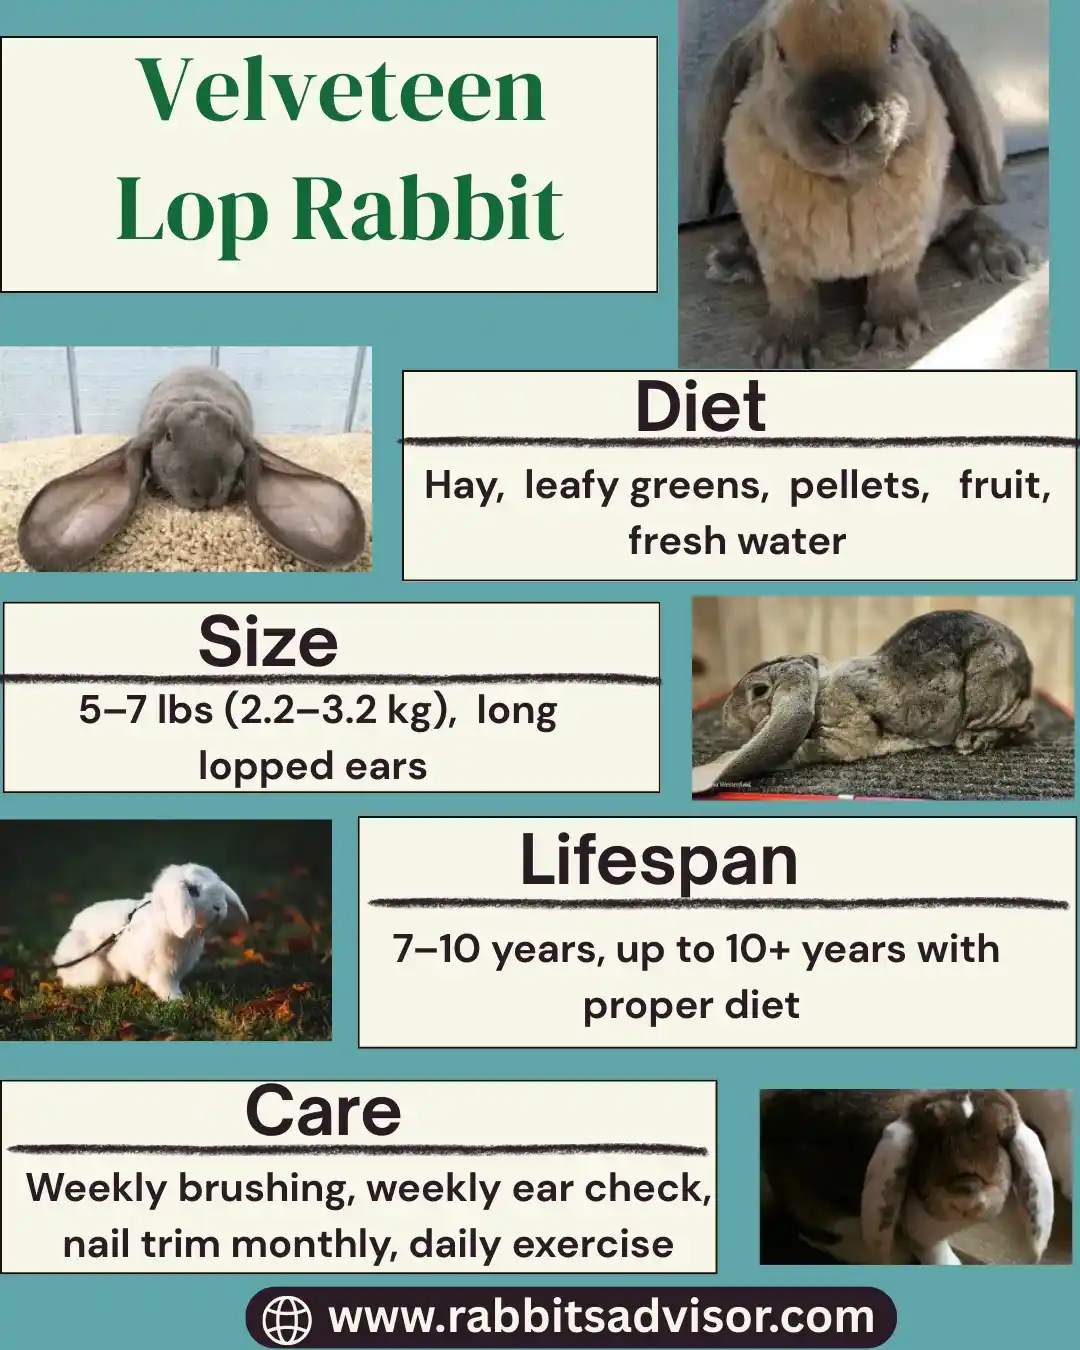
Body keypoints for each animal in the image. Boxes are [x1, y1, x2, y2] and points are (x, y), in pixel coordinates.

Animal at [52, 862, 249, 1002]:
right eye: (192, 890)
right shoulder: (160, 971)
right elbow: (164, 986)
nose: (219, 908)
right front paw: (178, 1000)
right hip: (94, 970)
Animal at [692, 0, 1038, 367]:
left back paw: (999, 254)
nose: (847, 123)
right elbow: (790, 292)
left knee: (965, 212)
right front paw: (786, 352)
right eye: (781, 53)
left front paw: (893, 333)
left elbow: (894, 278)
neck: (845, 184)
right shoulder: (778, 253)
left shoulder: (905, 242)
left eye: (894, 41)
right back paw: (732, 259)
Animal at [692, 610, 1034, 795]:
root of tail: (1027, 673)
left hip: (987, 691)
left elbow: (808, 749)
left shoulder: (844, 737)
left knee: (1024, 727)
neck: (819, 693)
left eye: (759, 691)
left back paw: (974, 741)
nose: (726, 716)